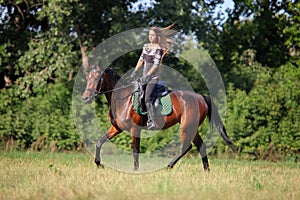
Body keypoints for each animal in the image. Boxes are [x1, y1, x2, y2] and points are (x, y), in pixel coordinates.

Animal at [82, 65, 234, 170]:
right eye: (87, 78)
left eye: (96, 79)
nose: (85, 98)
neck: (122, 99)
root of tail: (200, 97)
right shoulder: (116, 128)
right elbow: (99, 142)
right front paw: (99, 164)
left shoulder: (134, 130)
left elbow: (135, 151)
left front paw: (135, 170)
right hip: (191, 127)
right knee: (200, 145)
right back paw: (206, 170)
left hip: (186, 127)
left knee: (187, 146)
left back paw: (169, 166)